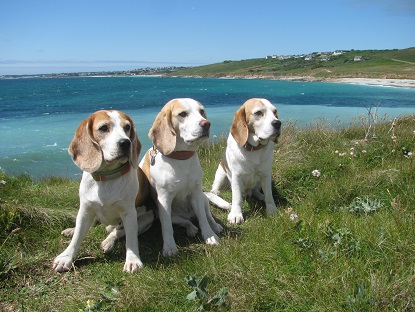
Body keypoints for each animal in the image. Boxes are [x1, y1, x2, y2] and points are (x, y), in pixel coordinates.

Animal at [53, 110, 154, 272]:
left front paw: (132, 260)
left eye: (127, 127)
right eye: (104, 128)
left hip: (147, 219)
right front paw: (66, 257)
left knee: (117, 232)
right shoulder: (85, 210)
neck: (107, 178)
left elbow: (131, 239)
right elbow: (77, 237)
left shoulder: (129, 213)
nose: (126, 143)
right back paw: (71, 230)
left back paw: (108, 242)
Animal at [141, 98, 224, 258]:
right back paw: (191, 228)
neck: (181, 158)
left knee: (207, 216)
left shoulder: (196, 194)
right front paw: (169, 247)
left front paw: (210, 236)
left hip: (203, 200)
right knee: (185, 222)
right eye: (183, 114)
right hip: (167, 214)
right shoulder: (164, 201)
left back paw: (215, 227)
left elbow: (203, 220)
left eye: (201, 111)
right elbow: (167, 228)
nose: (206, 124)